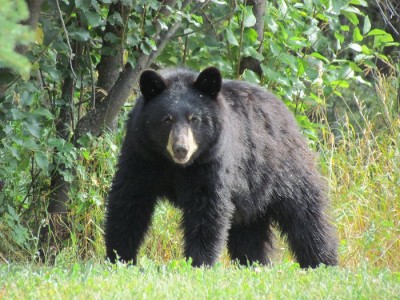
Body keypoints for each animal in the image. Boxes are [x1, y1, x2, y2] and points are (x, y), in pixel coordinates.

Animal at [104, 67, 340, 268]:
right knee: (249, 231)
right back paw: (253, 261)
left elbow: (207, 207)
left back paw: (322, 260)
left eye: (194, 119)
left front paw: (199, 261)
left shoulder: (212, 160)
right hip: (251, 193)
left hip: (282, 167)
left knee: (305, 213)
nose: (181, 149)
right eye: (167, 119)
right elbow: (129, 200)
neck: (175, 166)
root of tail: (286, 113)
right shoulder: (141, 155)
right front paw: (119, 256)